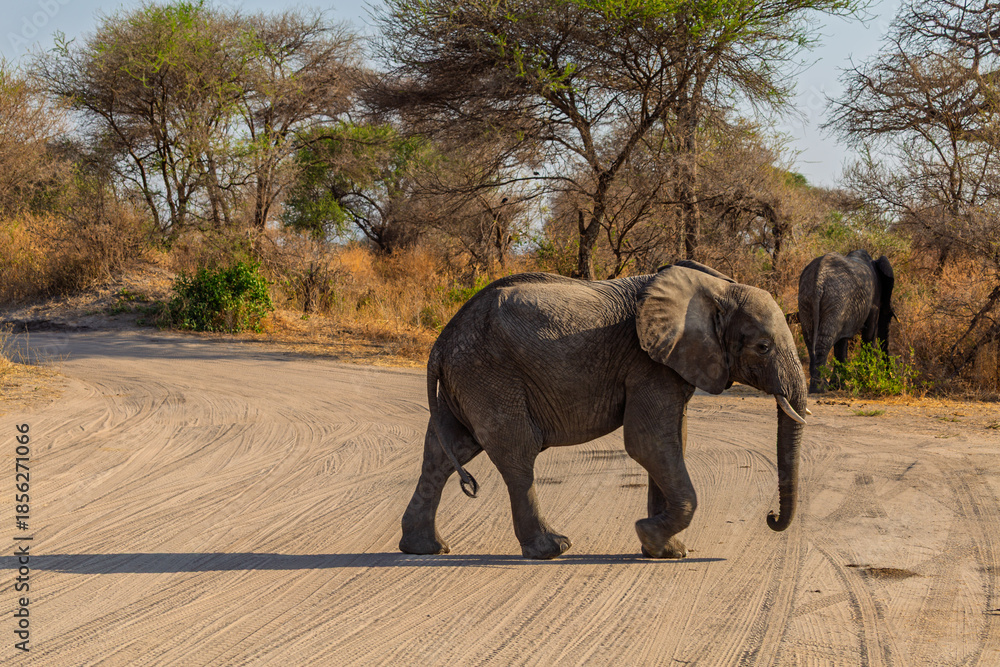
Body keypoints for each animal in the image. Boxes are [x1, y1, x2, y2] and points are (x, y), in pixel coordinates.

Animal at [398, 260, 809, 560]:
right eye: (763, 347)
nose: (770, 517)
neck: (716, 289)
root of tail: (442, 339)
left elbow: (672, 440)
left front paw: (664, 551)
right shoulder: (648, 364)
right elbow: (649, 443)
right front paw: (650, 535)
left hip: (467, 378)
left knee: (446, 451)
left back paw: (425, 548)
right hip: (489, 375)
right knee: (517, 453)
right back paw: (551, 549)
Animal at [797, 250, 895, 393]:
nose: (890, 378)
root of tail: (817, 279)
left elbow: (842, 342)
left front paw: (839, 386)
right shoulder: (873, 301)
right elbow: (869, 335)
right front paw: (866, 381)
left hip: (806, 298)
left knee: (810, 339)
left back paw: (819, 386)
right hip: (836, 299)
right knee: (824, 340)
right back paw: (819, 389)